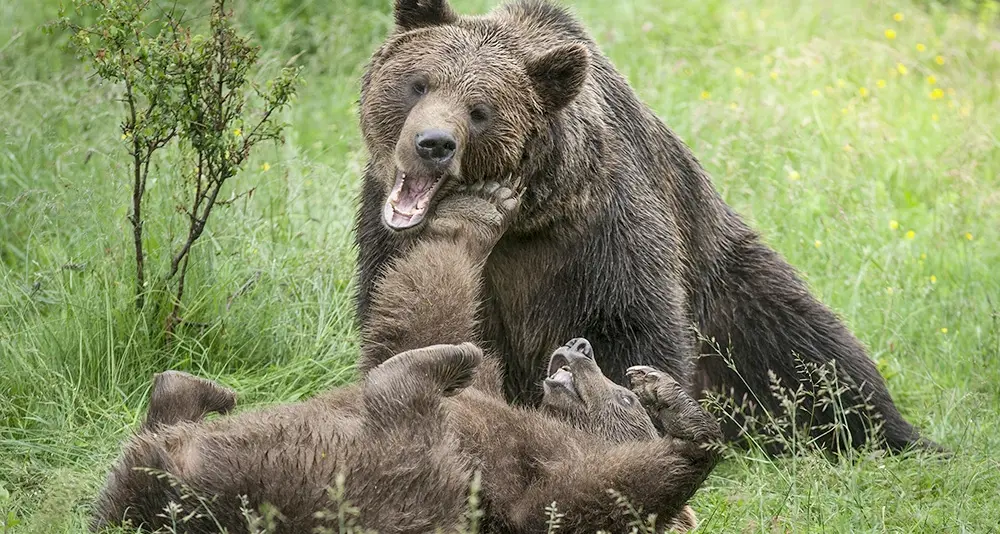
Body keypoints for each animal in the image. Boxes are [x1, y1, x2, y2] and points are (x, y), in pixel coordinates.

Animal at [92, 186, 721, 533]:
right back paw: (199, 392)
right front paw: (478, 213)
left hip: (350, 487)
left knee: (407, 427)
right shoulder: (493, 397)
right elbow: (419, 313)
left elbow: (578, 501)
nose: (582, 345)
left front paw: (685, 414)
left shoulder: (532, 481)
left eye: (624, 391)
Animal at [352, 0, 939, 454]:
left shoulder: (600, 233)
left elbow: (629, 324)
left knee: (808, 352)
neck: (527, 220)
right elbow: (412, 327)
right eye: (417, 83)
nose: (433, 143)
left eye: (481, 109)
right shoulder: (387, 230)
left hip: (726, 288)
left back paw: (899, 438)